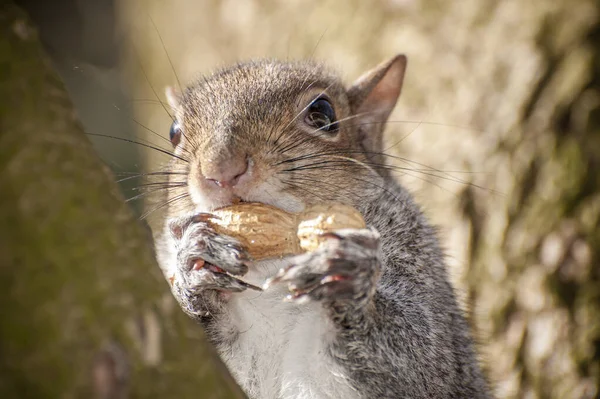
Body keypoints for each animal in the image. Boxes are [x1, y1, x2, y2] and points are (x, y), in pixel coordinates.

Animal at [152, 56, 490, 399]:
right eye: (174, 131)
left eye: (322, 114)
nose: (220, 170)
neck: (271, 265)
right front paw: (194, 265)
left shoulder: (420, 267)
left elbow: (421, 357)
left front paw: (347, 274)